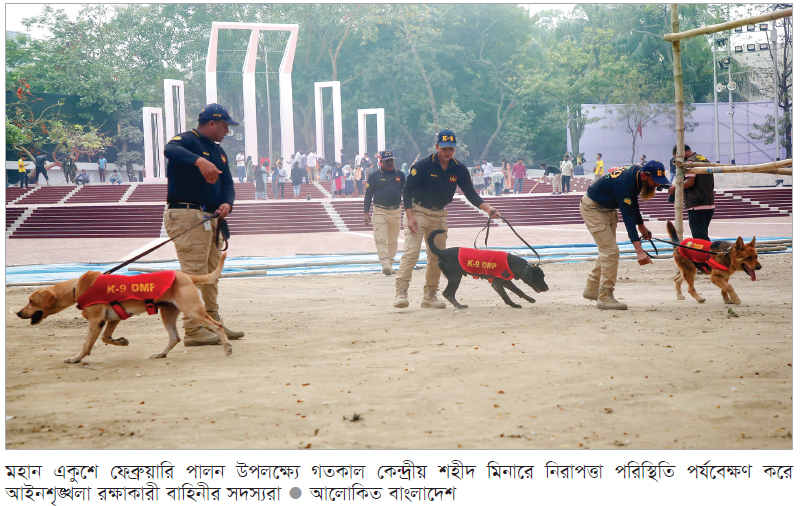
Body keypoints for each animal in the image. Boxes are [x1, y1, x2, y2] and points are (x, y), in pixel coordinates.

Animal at [16, 255, 231, 362]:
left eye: (31, 300)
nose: (18, 313)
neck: (77, 287)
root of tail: (187, 276)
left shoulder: (96, 321)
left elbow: (87, 345)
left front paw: (76, 359)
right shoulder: (113, 318)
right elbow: (106, 338)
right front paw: (120, 341)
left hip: (193, 311)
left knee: (217, 326)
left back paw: (227, 347)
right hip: (168, 313)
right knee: (174, 338)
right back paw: (161, 354)